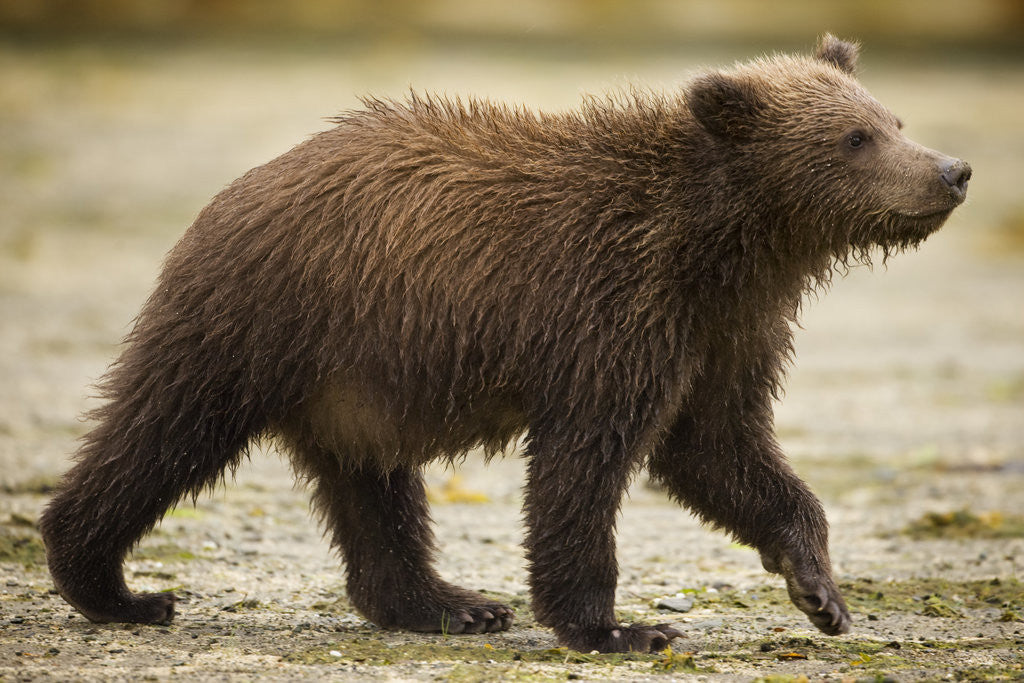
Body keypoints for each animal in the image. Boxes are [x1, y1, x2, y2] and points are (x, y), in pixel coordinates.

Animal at [39, 34, 970, 654]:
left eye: (892, 117)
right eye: (854, 138)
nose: (952, 169)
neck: (724, 245)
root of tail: (236, 190)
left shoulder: (724, 336)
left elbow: (723, 450)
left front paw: (819, 588)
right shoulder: (611, 314)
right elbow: (585, 467)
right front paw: (617, 625)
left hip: (354, 380)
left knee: (374, 489)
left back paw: (450, 601)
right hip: (263, 321)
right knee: (163, 433)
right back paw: (116, 586)